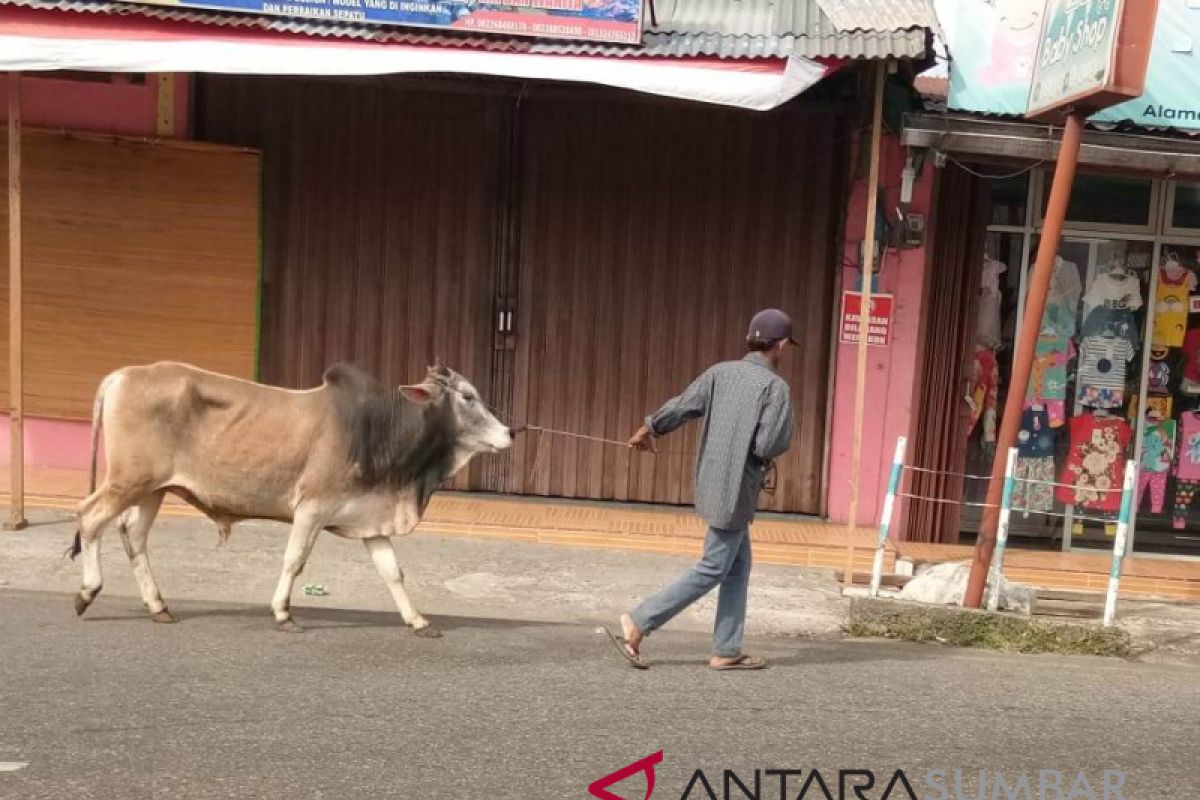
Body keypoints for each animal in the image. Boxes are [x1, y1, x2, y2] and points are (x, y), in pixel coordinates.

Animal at [68, 364, 513, 638]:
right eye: (468, 397)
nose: (510, 432)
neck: (377, 432)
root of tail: (122, 375)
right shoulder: (312, 508)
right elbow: (294, 561)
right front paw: (283, 613)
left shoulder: (371, 518)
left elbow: (393, 572)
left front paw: (418, 621)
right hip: (127, 482)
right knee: (89, 519)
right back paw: (88, 591)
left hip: (152, 490)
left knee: (133, 535)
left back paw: (158, 606)